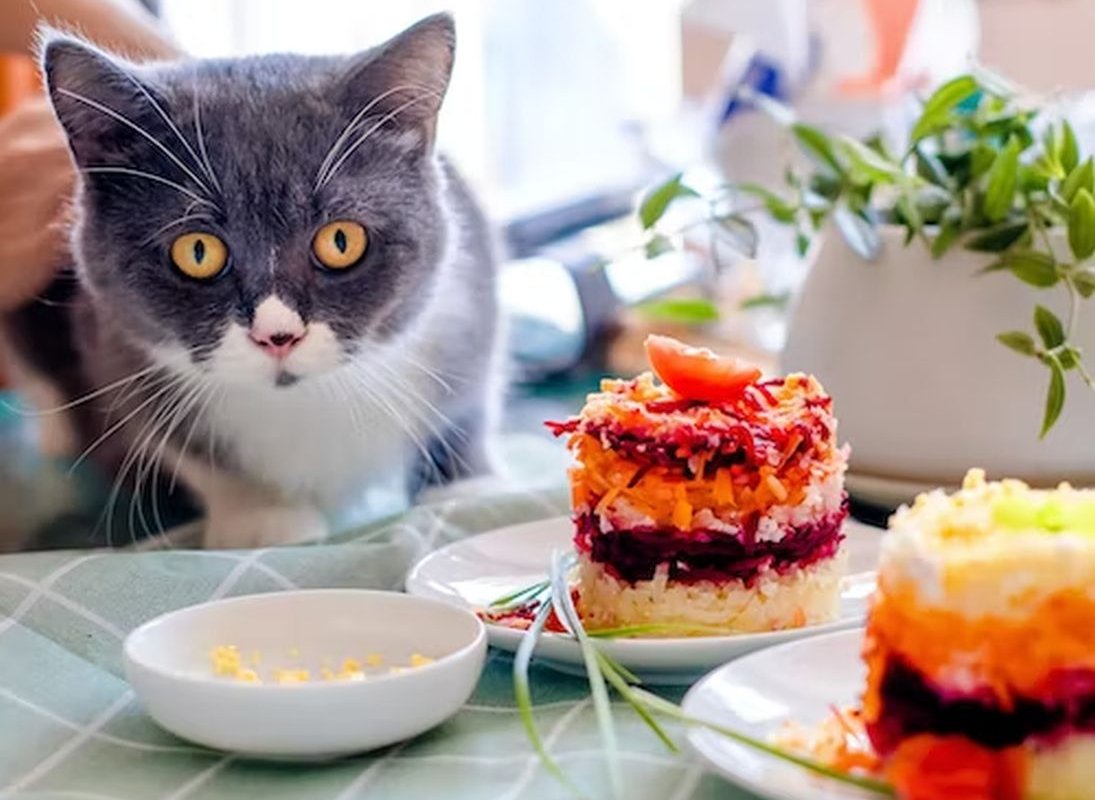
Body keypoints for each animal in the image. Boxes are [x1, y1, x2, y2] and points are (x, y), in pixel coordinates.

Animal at [1, 14, 501, 551]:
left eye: (341, 240)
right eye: (198, 252)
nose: (277, 335)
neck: (307, 401)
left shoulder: (470, 297)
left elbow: (469, 399)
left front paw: (467, 487)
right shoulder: (113, 345)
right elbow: (187, 448)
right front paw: (262, 517)